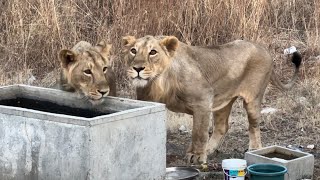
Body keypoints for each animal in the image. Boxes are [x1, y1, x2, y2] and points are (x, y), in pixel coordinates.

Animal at [121, 34, 302, 163]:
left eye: (153, 52)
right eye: (133, 51)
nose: (138, 68)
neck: (158, 82)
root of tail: (264, 49)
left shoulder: (203, 101)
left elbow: (199, 132)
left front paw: (196, 156)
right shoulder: (150, 103)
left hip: (253, 99)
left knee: (254, 125)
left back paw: (253, 149)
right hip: (223, 101)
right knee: (222, 127)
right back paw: (209, 149)